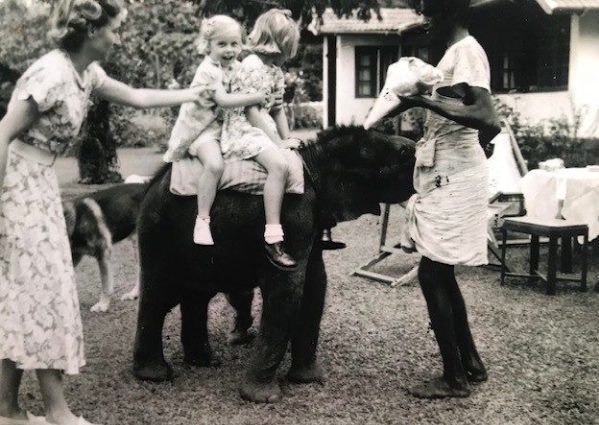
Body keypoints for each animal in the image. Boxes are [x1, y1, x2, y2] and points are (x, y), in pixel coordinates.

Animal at [132, 125, 416, 403]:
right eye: (405, 154)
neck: (314, 159)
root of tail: (152, 181)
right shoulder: (293, 214)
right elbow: (287, 290)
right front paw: (263, 398)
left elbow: (315, 284)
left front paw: (309, 380)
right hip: (158, 232)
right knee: (158, 294)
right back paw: (156, 376)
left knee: (196, 295)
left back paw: (205, 362)